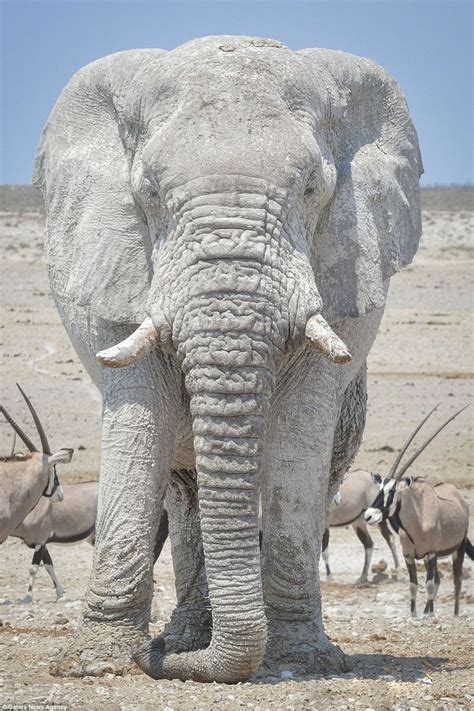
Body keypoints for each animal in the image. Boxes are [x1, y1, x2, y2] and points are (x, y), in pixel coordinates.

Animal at [34, 37, 422, 684]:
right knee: (184, 487)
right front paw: (96, 663)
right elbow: (139, 423)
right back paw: (188, 636)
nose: (159, 663)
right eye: (149, 193)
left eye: (313, 189)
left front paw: (303, 659)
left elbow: (299, 438)